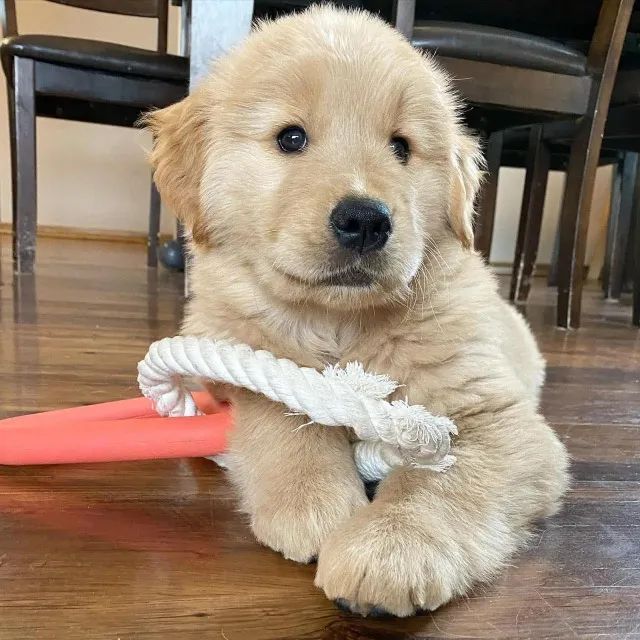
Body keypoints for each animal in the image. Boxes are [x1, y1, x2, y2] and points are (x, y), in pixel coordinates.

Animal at [145, 6, 569, 617]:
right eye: (291, 138)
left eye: (402, 147)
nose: (365, 219)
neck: (337, 322)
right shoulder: (232, 349)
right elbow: (281, 406)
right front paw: (312, 502)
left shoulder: (497, 419)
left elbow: (444, 482)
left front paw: (391, 548)